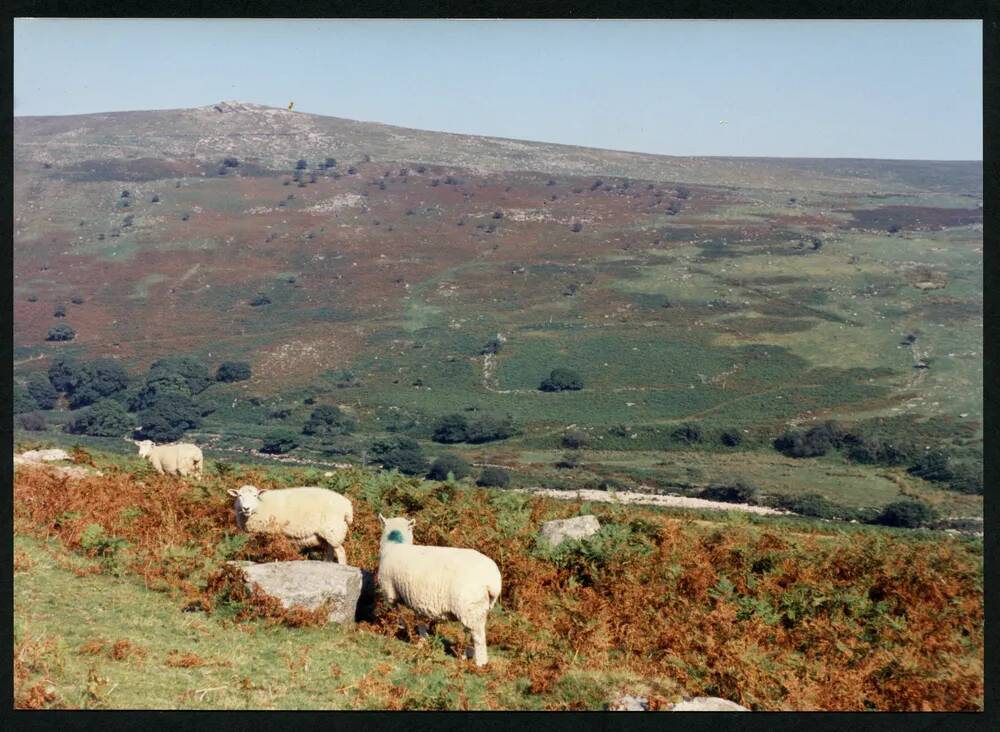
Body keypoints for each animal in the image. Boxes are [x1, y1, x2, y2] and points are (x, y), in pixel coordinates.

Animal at [376, 516, 500, 664]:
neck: (395, 544)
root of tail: (493, 580)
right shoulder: (417, 599)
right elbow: (420, 621)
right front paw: (422, 641)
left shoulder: (390, 593)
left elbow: (396, 614)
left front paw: (399, 628)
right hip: (478, 609)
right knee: (471, 634)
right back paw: (465, 656)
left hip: (471, 607)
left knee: (478, 637)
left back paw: (480, 663)